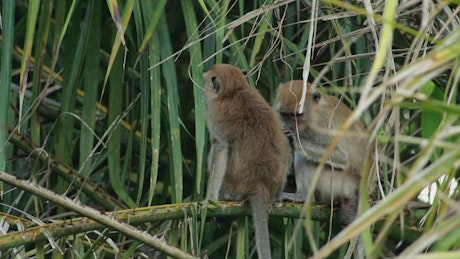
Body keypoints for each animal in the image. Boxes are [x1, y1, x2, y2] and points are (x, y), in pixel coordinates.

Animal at [202, 63, 290, 259]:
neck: (236, 89)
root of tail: (260, 184)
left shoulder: (214, 112)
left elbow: (221, 148)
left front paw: (210, 200)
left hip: (235, 185)